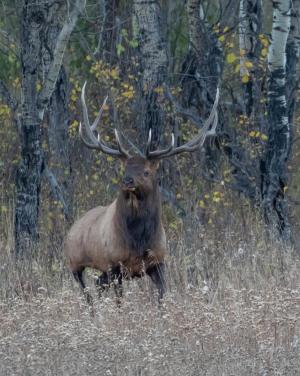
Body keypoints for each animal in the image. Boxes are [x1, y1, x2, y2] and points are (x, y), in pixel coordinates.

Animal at [64, 82, 219, 302]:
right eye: (125, 168)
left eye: (146, 171)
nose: (127, 180)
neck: (138, 241)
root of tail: (74, 227)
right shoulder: (115, 265)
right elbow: (119, 302)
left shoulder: (158, 262)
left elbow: (161, 297)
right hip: (75, 263)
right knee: (87, 292)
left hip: (100, 271)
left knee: (98, 284)